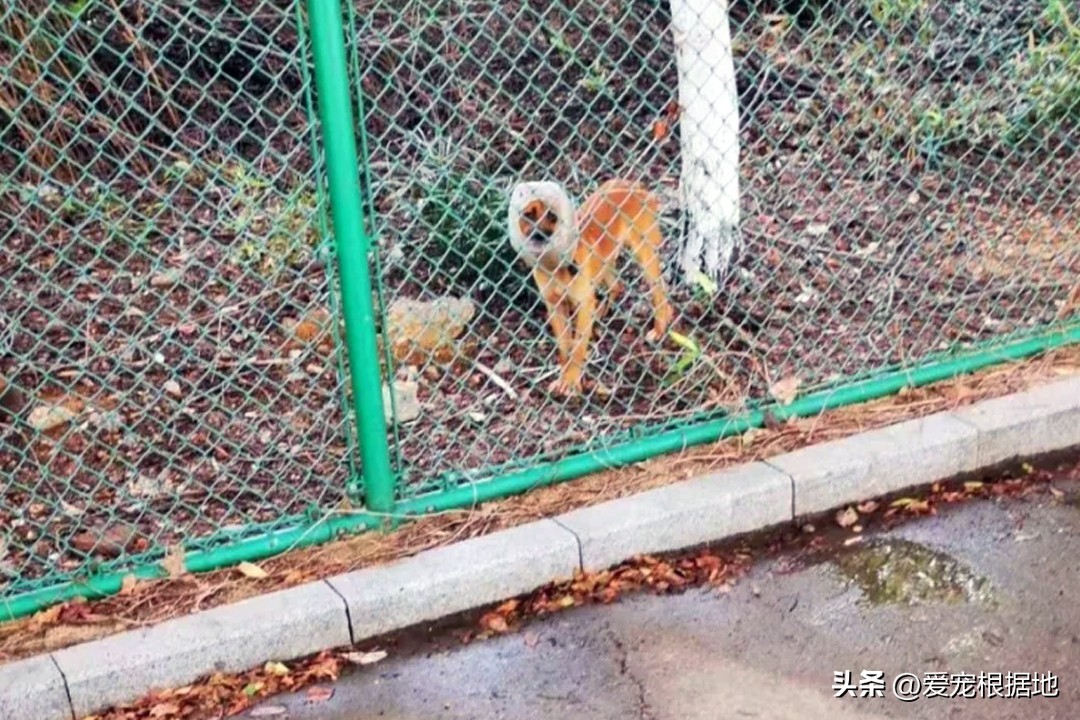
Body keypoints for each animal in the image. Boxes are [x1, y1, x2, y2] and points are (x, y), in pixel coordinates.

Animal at [507, 178, 673, 397]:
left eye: (553, 216)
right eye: (527, 215)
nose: (539, 238)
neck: (556, 268)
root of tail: (632, 184)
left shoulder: (583, 304)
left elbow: (577, 347)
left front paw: (571, 380)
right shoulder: (555, 307)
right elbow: (564, 347)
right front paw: (564, 376)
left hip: (644, 254)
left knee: (659, 292)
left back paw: (660, 325)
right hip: (606, 262)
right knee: (617, 286)